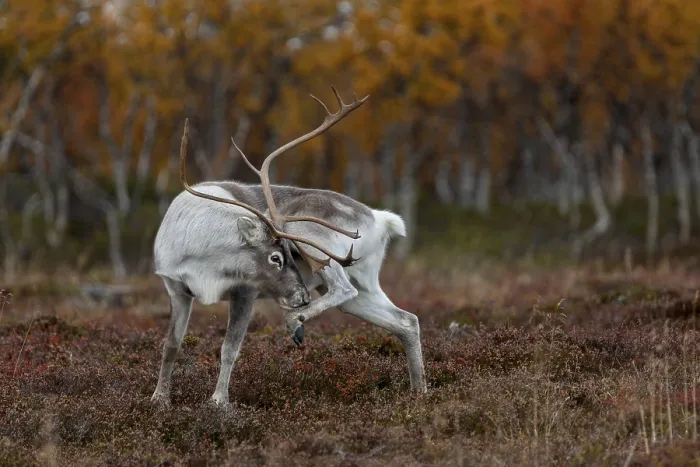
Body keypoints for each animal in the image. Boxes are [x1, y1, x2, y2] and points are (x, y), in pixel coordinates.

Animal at [150, 87, 426, 407]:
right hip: (364, 286)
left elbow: (229, 348)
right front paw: (159, 399)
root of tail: (379, 219)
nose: (301, 296)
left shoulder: (244, 291)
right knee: (406, 320)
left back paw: (296, 322)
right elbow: (171, 345)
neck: (199, 250)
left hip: (313, 240)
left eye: (293, 253)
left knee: (345, 288)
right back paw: (420, 391)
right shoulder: (177, 289)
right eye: (275, 258)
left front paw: (219, 401)